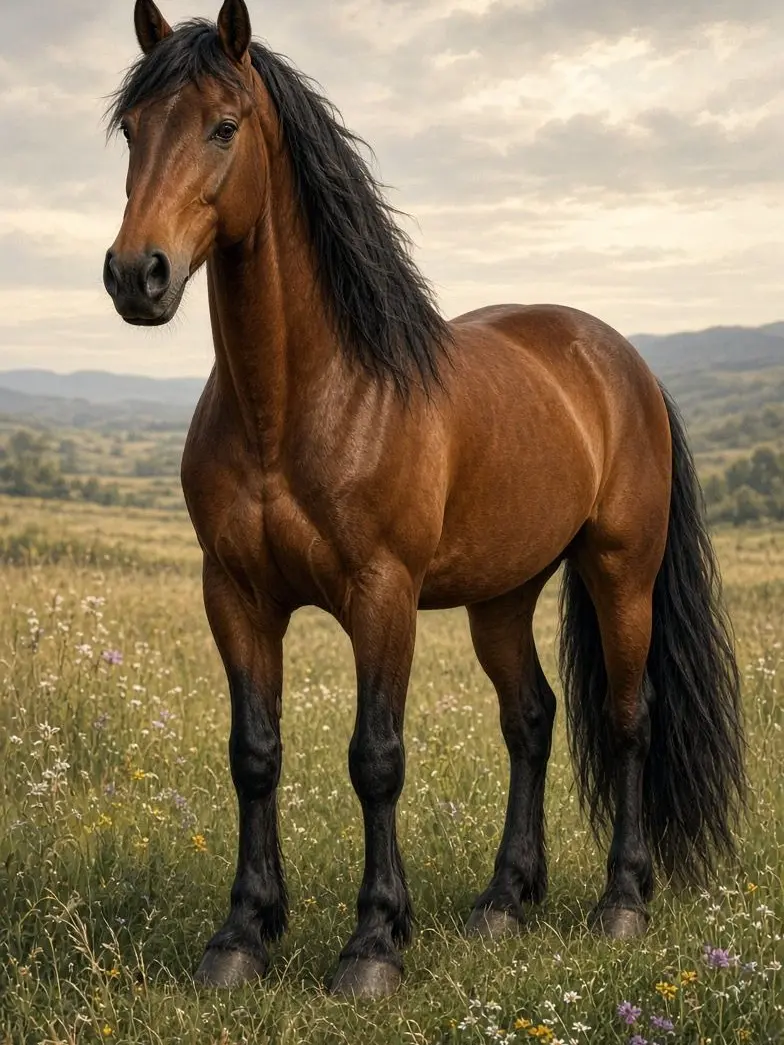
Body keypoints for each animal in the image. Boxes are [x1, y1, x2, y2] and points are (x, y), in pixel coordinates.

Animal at [103, 0, 747, 999]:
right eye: (132, 130)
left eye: (223, 126)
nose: (138, 275)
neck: (300, 400)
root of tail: (622, 361)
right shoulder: (235, 594)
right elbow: (254, 753)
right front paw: (242, 934)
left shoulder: (383, 595)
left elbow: (376, 758)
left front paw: (373, 942)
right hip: (502, 595)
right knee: (531, 719)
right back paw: (503, 904)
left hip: (621, 573)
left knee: (628, 719)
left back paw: (621, 903)